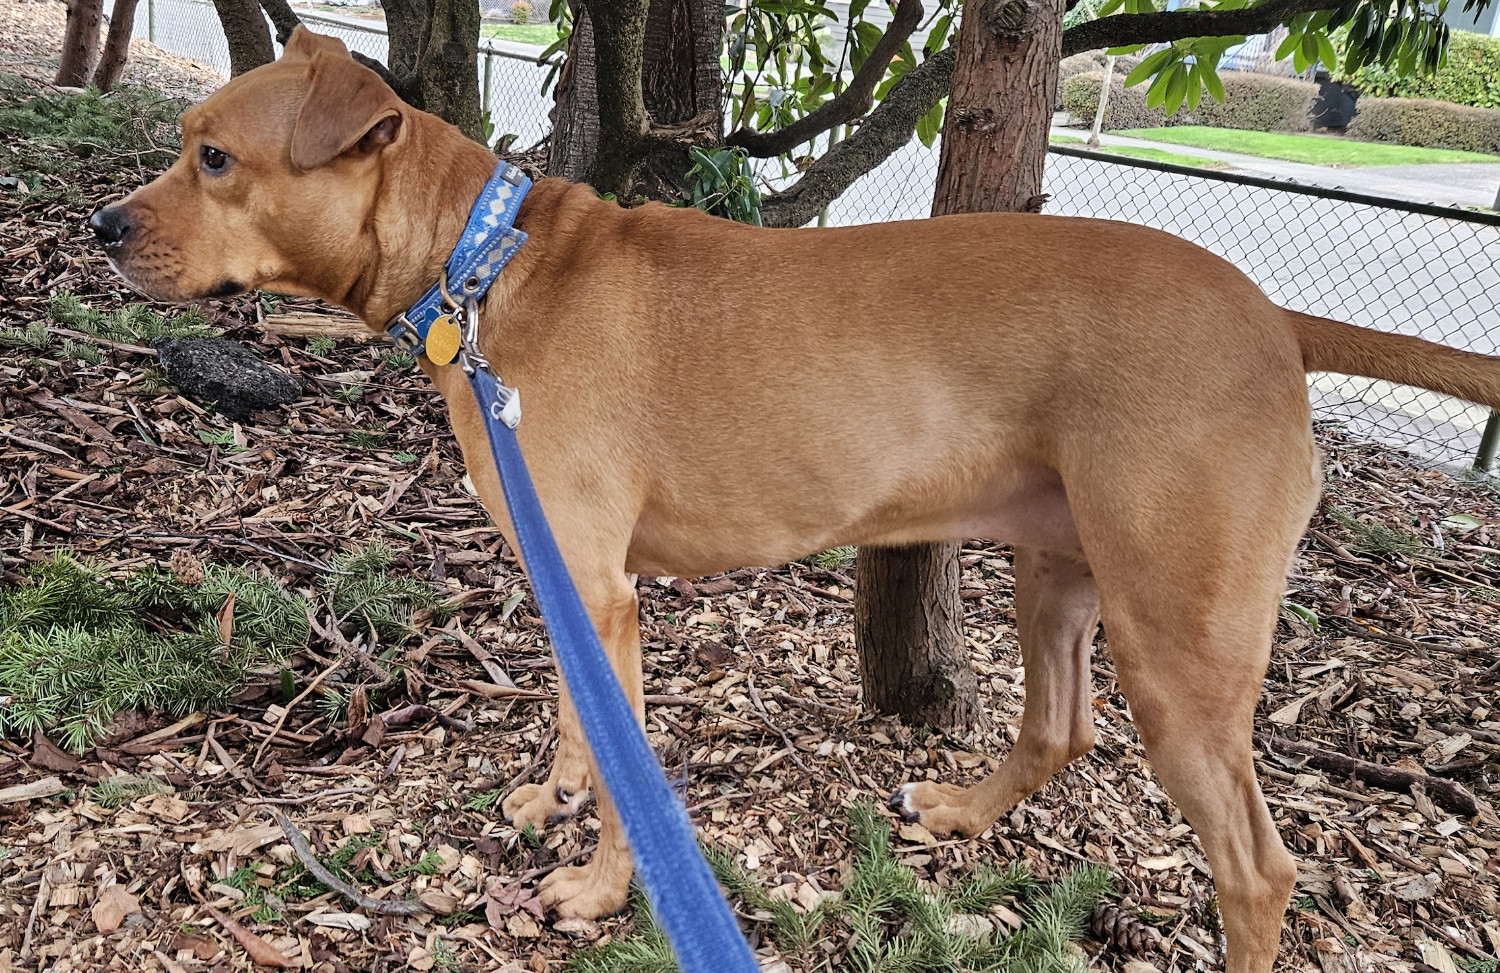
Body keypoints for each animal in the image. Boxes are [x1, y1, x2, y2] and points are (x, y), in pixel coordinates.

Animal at [93, 26, 1500, 965]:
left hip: (1181, 646)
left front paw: (597, 891)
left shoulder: (600, 589)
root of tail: (1273, 317)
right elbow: (577, 721)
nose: (105, 227)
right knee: (1061, 729)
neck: (485, 262)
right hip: (1058, 572)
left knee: (1259, 868)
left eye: (213, 156)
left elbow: (624, 759)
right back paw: (958, 808)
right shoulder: (570, 588)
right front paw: (552, 800)